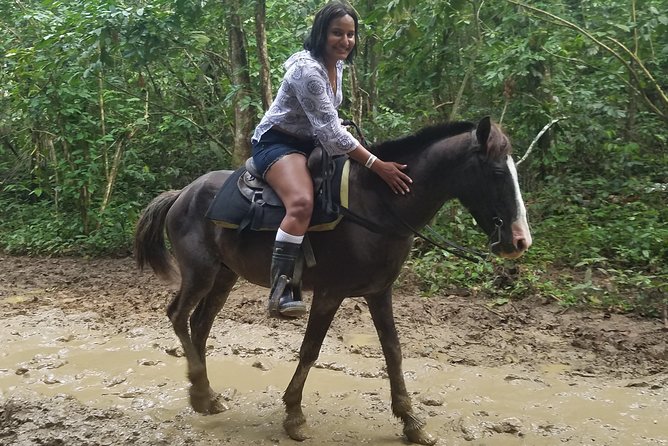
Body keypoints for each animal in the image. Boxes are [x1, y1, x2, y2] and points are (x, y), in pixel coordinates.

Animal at [134, 117, 532, 445]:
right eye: (497, 172)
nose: (519, 241)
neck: (378, 205)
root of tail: (182, 194)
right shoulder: (329, 292)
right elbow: (311, 349)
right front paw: (294, 416)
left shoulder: (379, 292)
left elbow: (393, 351)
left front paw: (411, 422)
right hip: (200, 272)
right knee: (178, 316)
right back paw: (201, 393)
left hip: (224, 275)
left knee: (200, 324)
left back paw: (207, 396)